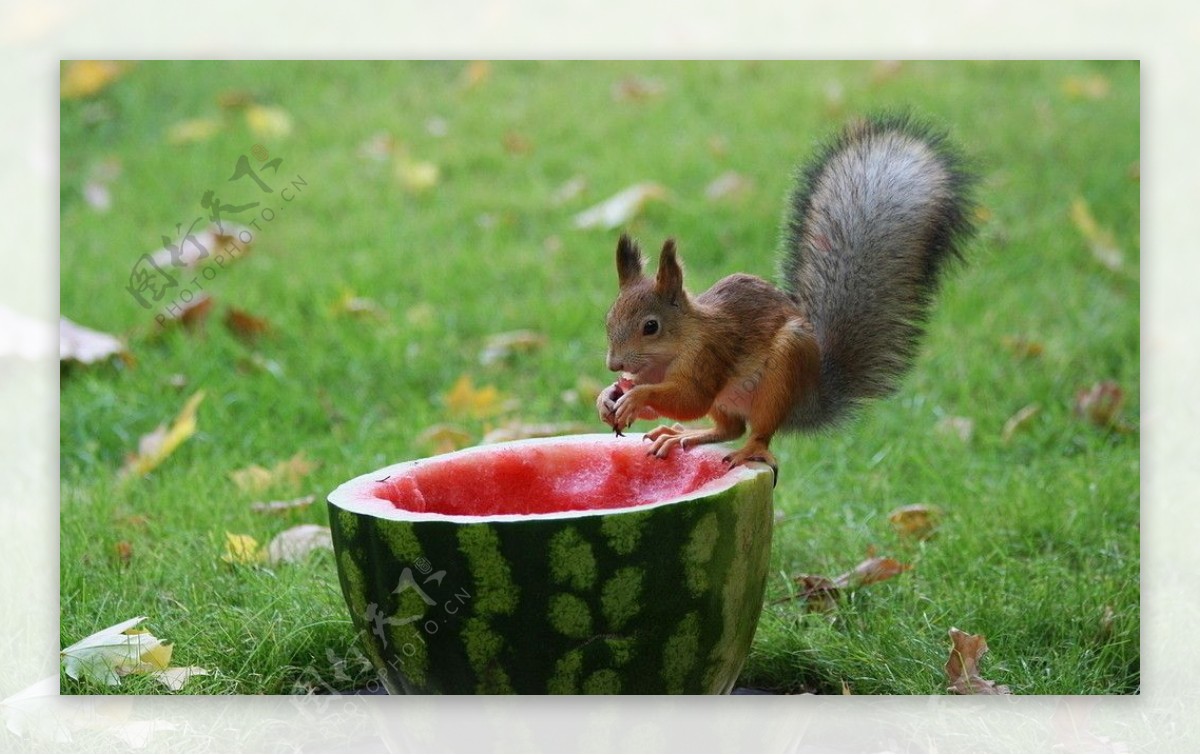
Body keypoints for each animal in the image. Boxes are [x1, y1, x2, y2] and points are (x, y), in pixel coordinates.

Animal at [595, 112, 979, 480]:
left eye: (651, 326)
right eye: (608, 319)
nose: (614, 364)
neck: (673, 348)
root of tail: (808, 397)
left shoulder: (710, 355)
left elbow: (691, 400)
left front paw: (636, 396)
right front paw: (608, 396)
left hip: (782, 374)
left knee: (757, 431)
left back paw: (748, 450)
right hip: (732, 400)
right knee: (729, 428)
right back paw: (683, 436)